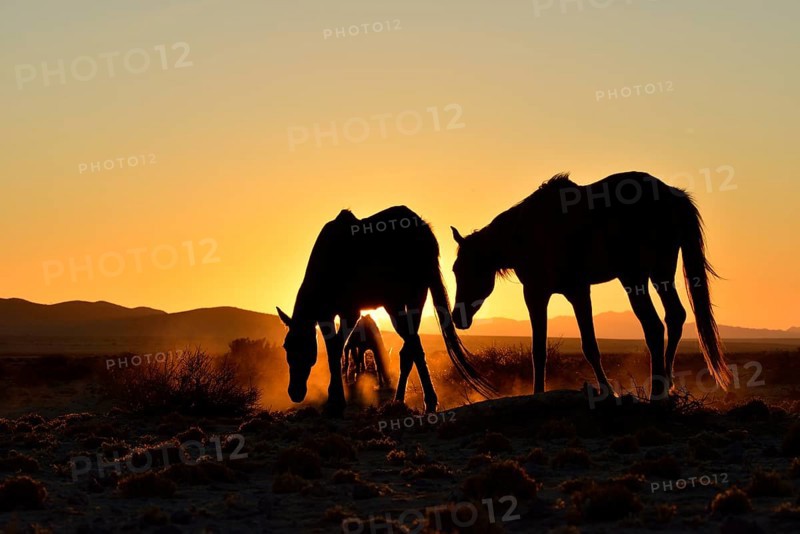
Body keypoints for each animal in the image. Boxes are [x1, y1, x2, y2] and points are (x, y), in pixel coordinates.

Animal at [277, 206, 494, 416]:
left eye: (304, 348)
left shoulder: (350, 312)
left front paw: (336, 402)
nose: (295, 392)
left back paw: (428, 400)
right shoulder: (326, 316)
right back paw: (400, 400)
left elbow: (337, 349)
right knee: (410, 346)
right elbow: (333, 351)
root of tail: (424, 230)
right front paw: (334, 400)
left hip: (403, 299)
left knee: (413, 344)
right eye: (286, 347)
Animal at [449, 171, 732, 400]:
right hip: (660, 273)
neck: (525, 233)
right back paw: (667, 385)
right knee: (674, 316)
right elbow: (548, 349)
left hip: (634, 278)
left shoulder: (550, 292)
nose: (457, 317)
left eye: (466, 270)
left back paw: (656, 392)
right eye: (454, 270)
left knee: (653, 325)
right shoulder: (568, 293)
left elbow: (575, 347)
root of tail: (672, 195)